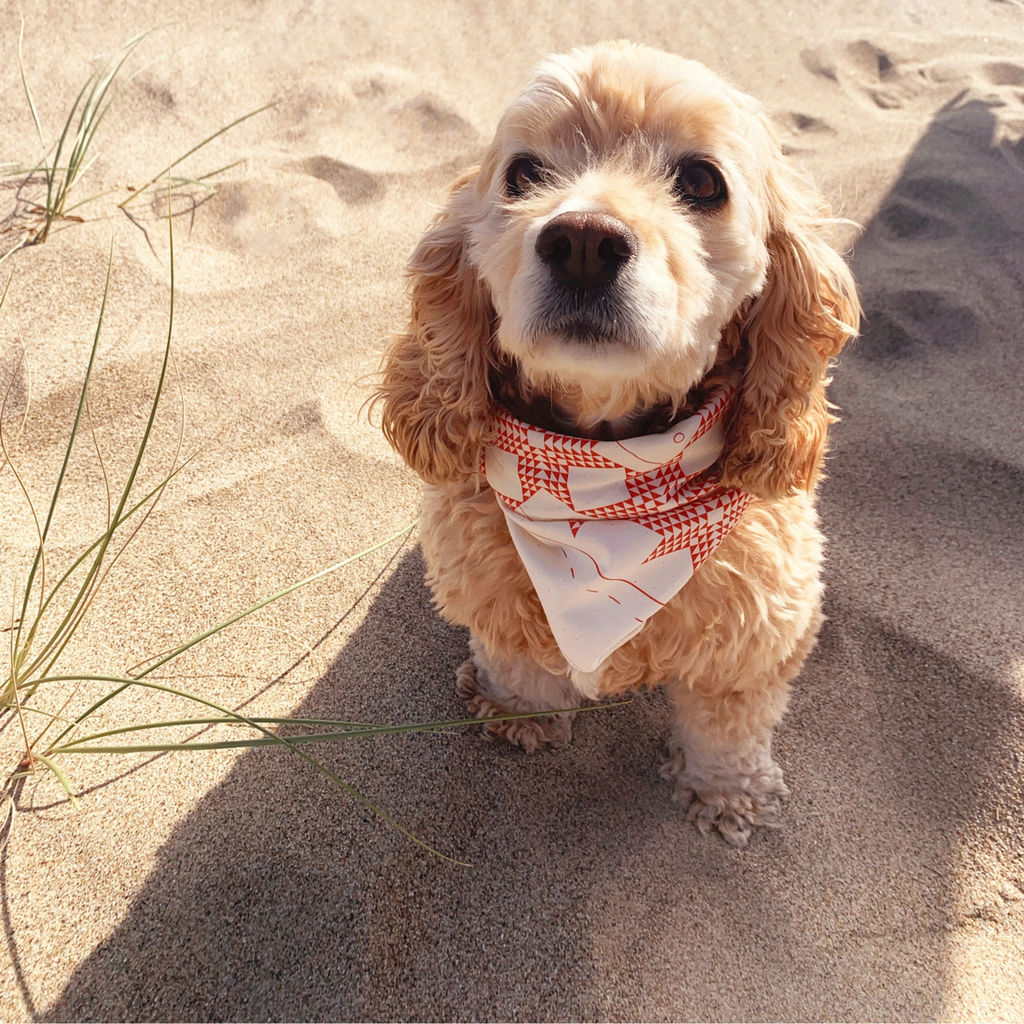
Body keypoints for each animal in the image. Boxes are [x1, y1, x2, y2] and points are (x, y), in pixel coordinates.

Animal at [374, 41, 856, 847]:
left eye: (702, 181)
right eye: (524, 173)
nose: (583, 242)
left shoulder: (760, 630)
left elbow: (728, 724)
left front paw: (726, 794)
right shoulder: (490, 587)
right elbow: (517, 658)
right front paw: (519, 715)